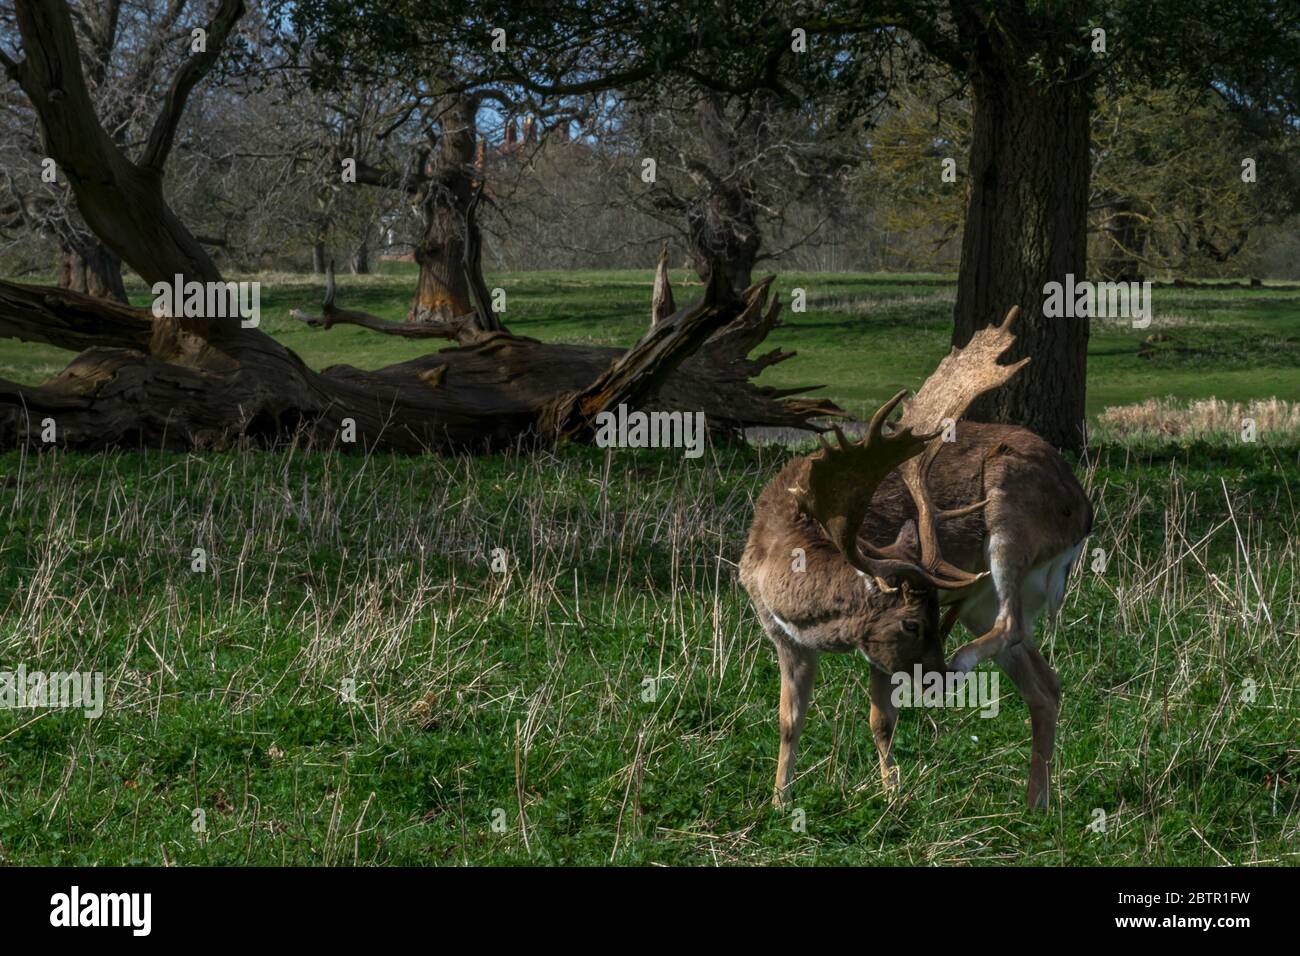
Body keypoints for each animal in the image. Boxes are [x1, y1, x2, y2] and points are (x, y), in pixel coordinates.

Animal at [739, 307, 1092, 809]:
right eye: (911, 623)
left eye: (931, 615)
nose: (937, 678)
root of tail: (1082, 507)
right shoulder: (782, 637)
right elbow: (789, 722)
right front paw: (779, 801)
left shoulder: (872, 646)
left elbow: (880, 719)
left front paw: (891, 796)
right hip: (984, 603)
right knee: (1045, 684)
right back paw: (1035, 805)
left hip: (1010, 519)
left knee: (1013, 624)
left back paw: (966, 664)